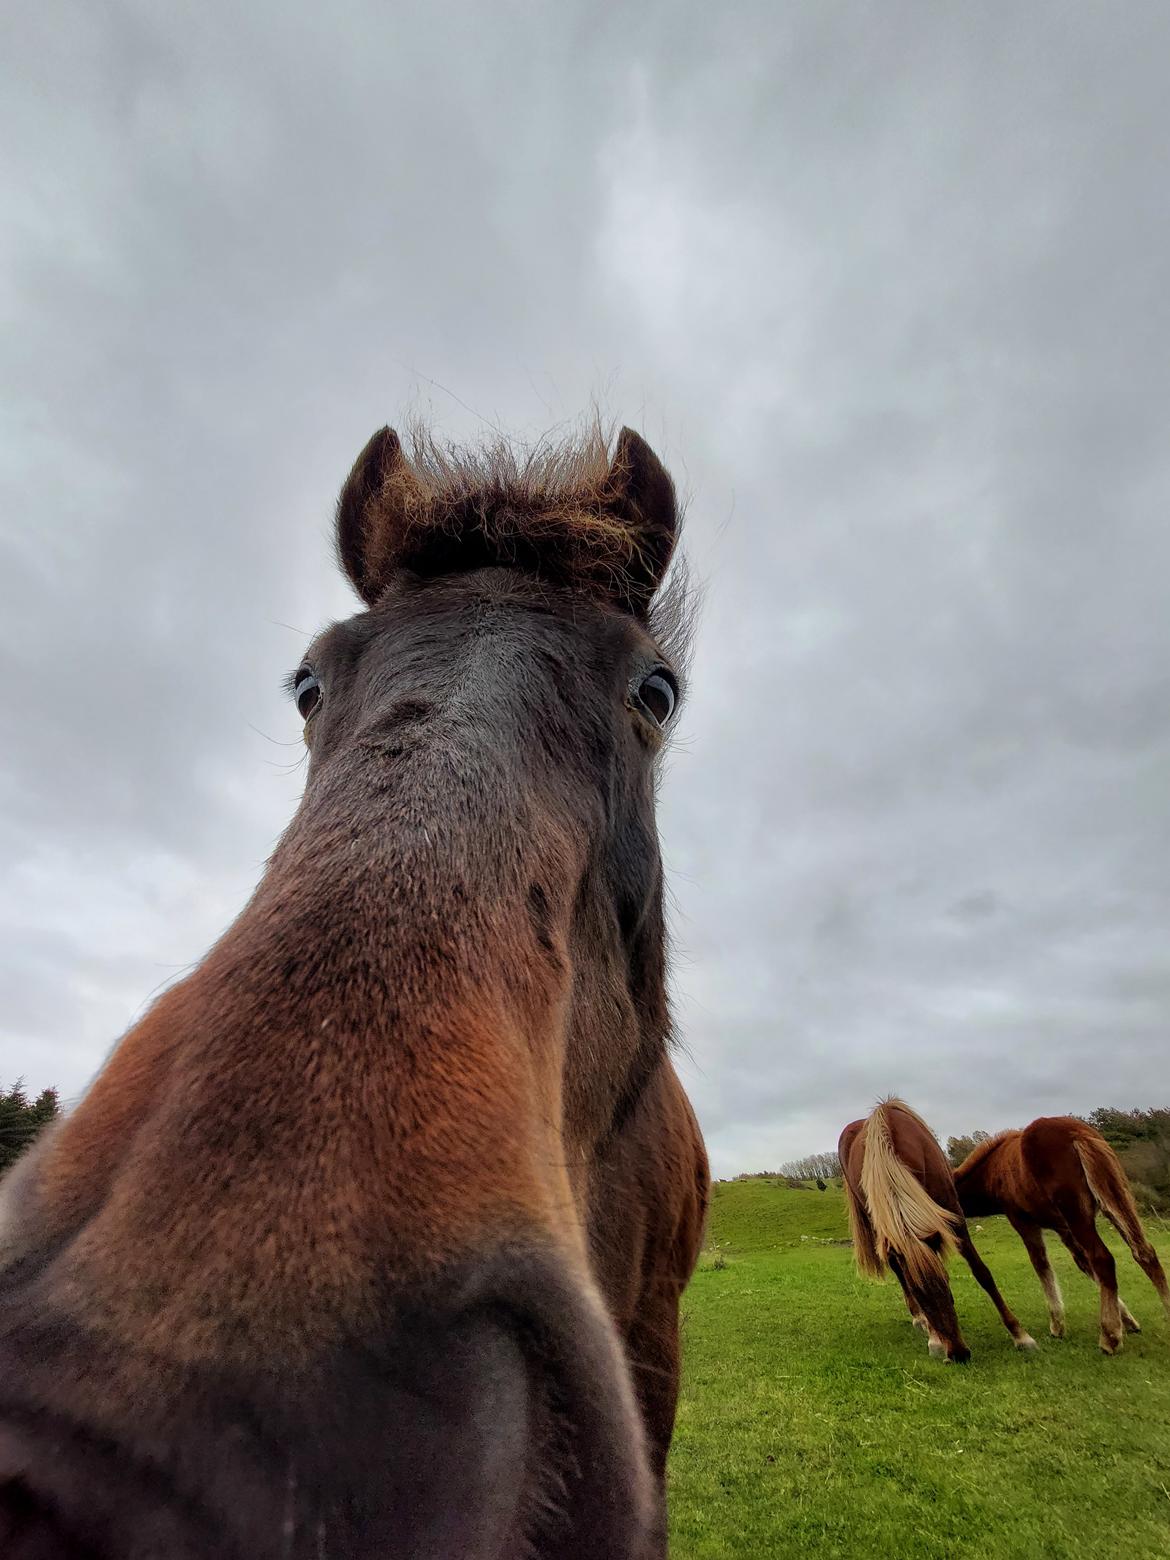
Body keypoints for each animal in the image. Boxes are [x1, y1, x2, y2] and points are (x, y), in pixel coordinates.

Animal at [842, 1098, 1035, 1366]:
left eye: (946, 1283)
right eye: (920, 1294)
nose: (958, 1355)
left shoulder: (954, 1218)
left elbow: (982, 1272)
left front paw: (1020, 1335)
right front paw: (934, 1340)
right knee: (898, 1269)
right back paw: (919, 1320)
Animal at [954, 1123, 1166, 1354]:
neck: (994, 1169)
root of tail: (1077, 1134)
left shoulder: (1022, 1221)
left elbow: (1041, 1264)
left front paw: (1057, 1326)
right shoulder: (1062, 1228)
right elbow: (1083, 1264)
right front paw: (1128, 1321)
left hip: (1077, 1215)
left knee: (1103, 1259)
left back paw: (1108, 1338)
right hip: (1116, 1198)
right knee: (1144, 1251)